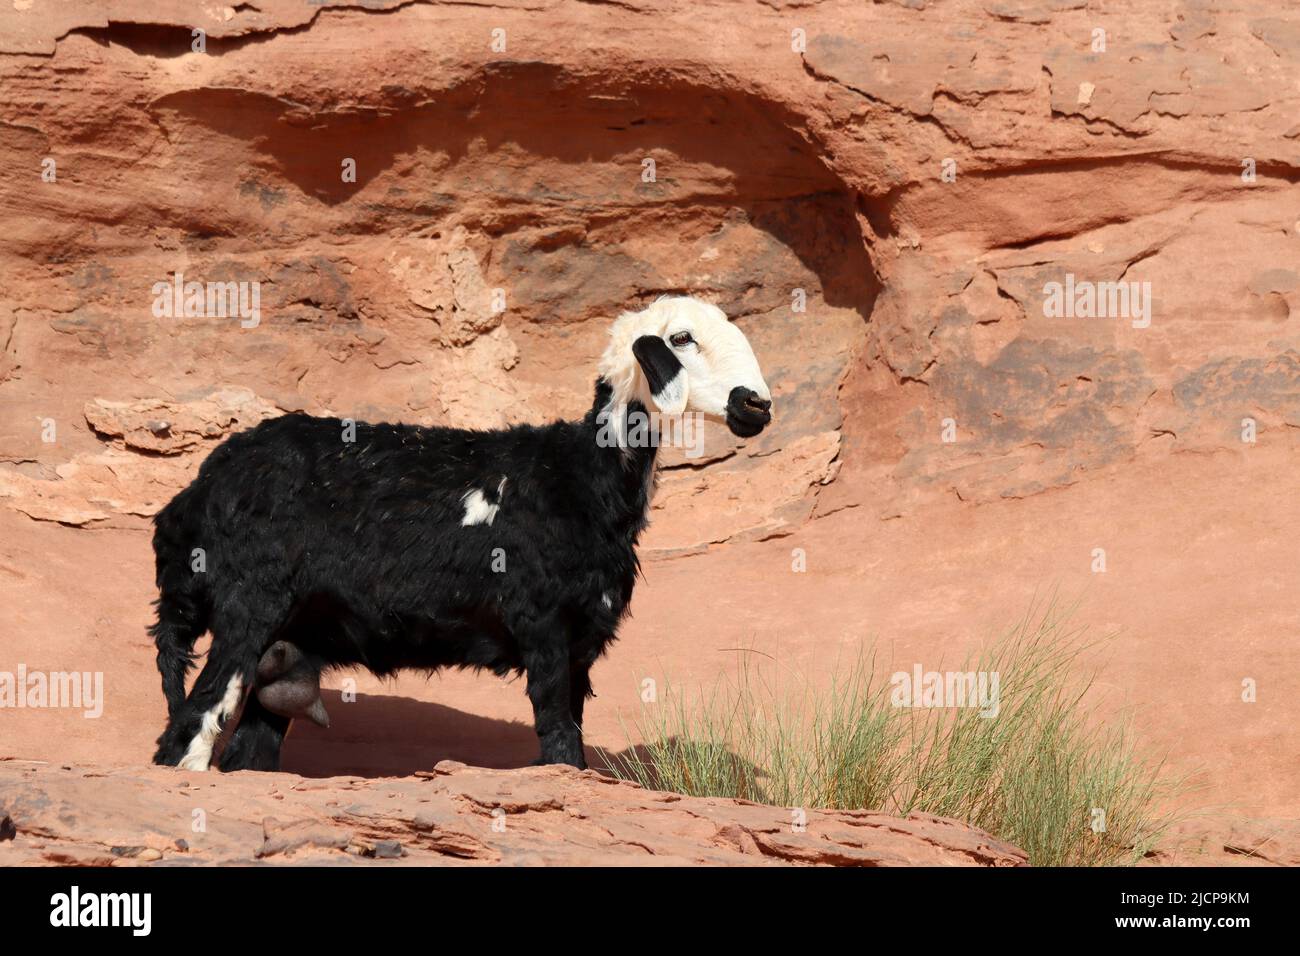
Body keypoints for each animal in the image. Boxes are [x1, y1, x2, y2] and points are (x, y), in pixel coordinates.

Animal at [149, 295, 769, 775]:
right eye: (682, 338)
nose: (755, 404)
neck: (582, 479)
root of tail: (195, 494)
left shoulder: (581, 641)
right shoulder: (541, 621)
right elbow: (558, 738)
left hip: (291, 635)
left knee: (250, 745)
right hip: (247, 603)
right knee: (190, 728)